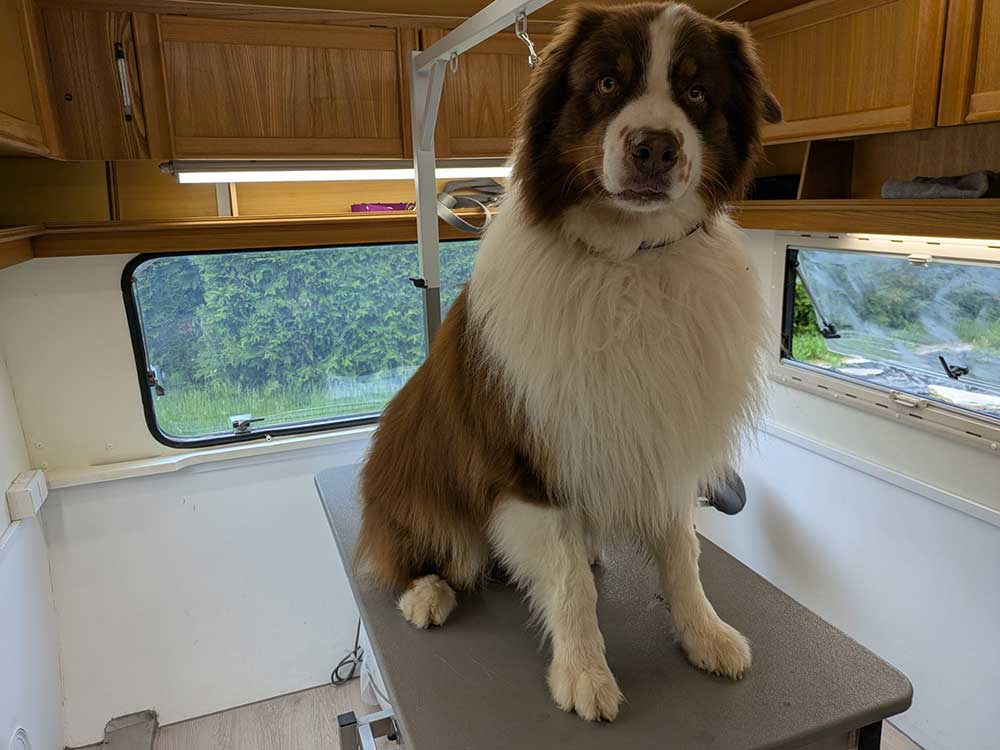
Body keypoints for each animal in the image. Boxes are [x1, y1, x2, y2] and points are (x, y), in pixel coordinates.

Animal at [357, 0, 781, 722]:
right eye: (607, 83)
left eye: (697, 93)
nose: (655, 148)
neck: (628, 259)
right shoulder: (529, 457)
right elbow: (568, 584)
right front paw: (583, 673)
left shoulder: (661, 435)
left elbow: (683, 553)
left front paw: (705, 634)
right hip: (418, 484)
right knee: (408, 547)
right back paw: (426, 592)